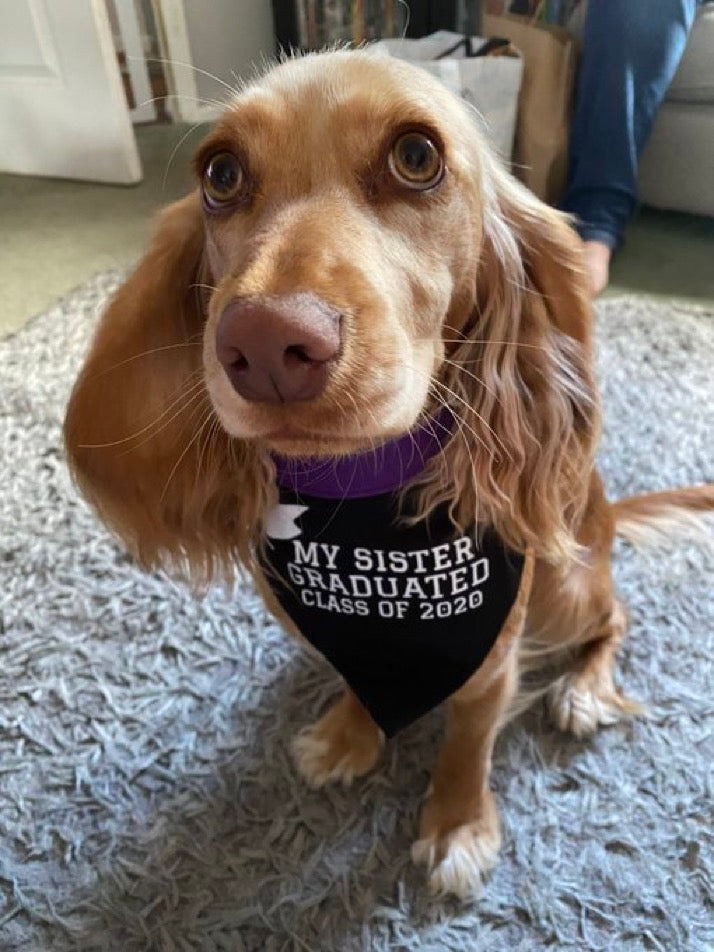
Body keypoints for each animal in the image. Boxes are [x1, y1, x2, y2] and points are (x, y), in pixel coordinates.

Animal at [64, 50, 708, 900]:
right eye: (221, 173)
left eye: (416, 156)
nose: (264, 344)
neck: (356, 502)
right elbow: (353, 678)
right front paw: (348, 734)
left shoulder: (493, 658)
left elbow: (469, 741)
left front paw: (458, 825)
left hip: (566, 591)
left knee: (615, 617)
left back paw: (584, 688)